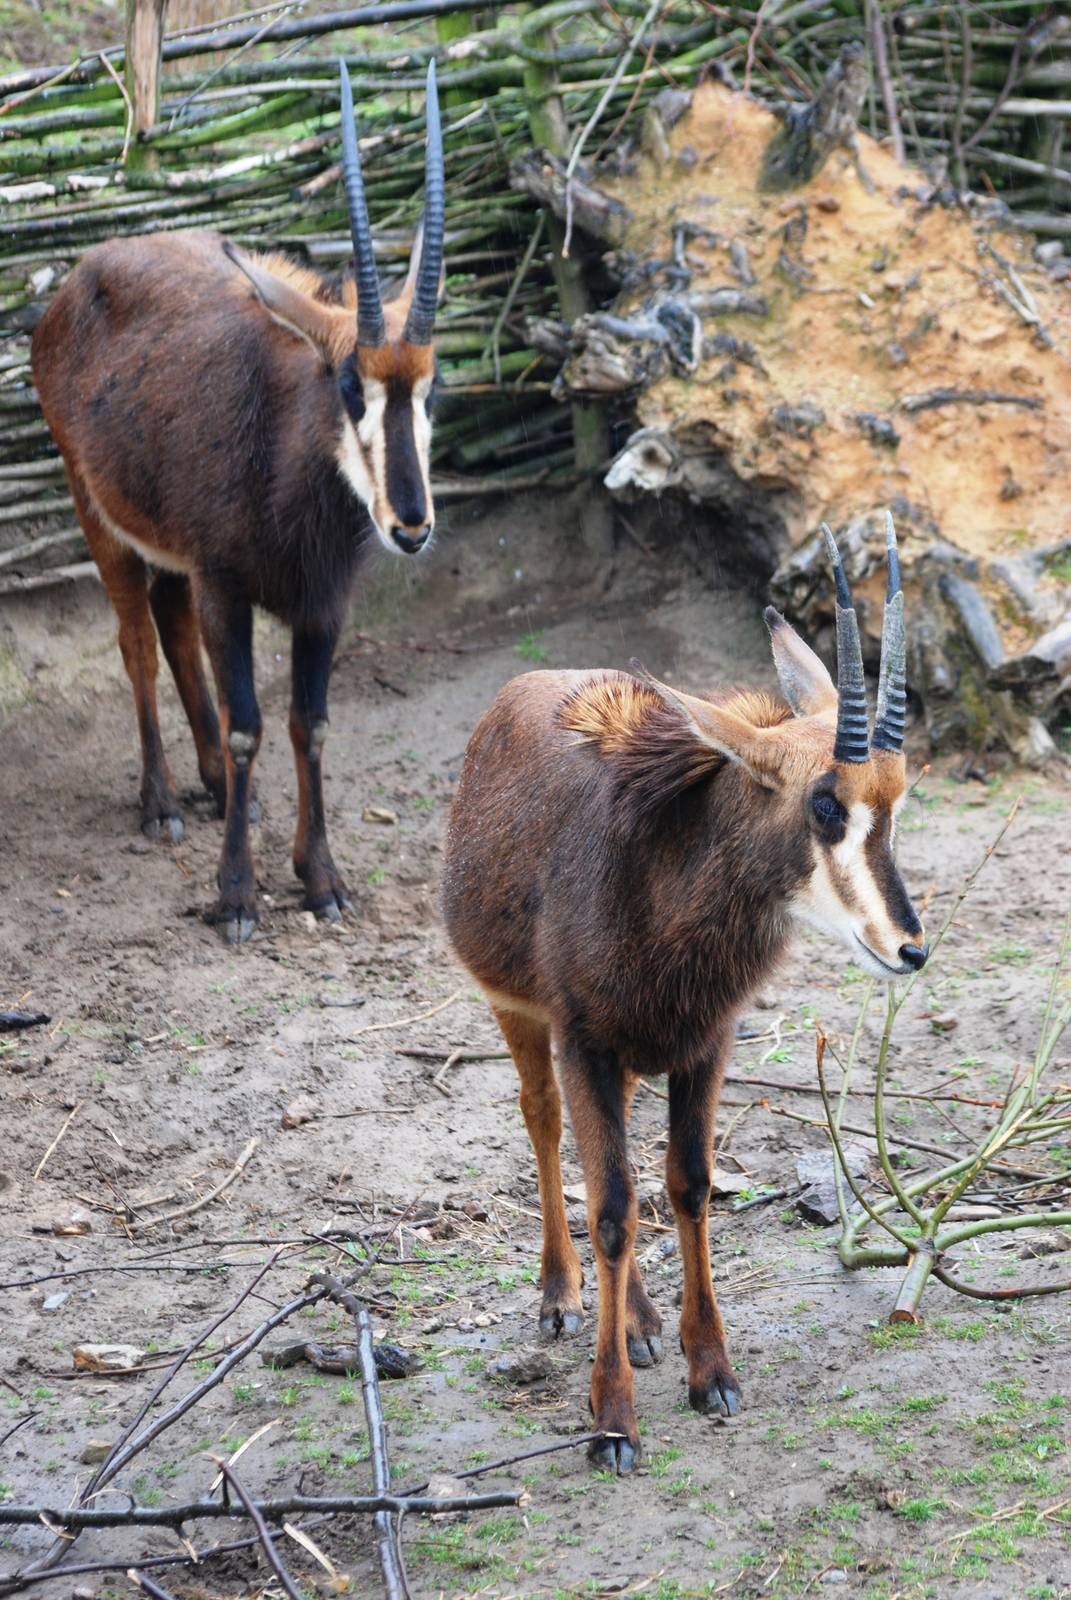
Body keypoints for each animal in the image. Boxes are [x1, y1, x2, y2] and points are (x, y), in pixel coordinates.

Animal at [31, 63, 444, 942]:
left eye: (431, 387)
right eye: (349, 384)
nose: (410, 525)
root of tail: (78, 280)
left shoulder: (323, 602)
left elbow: (308, 724)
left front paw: (321, 878)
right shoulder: (226, 585)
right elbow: (250, 721)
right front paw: (236, 898)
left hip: (172, 552)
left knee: (171, 625)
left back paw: (224, 790)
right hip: (98, 515)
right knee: (138, 640)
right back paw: (159, 802)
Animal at [442, 517, 928, 1473]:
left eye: (896, 802)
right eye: (825, 804)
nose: (908, 947)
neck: (662, 869)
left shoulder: (705, 1040)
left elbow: (688, 1186)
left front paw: (712, 1373)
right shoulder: (585, 1040)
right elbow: (611, 1209)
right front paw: (611, 1422)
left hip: (633, 1050)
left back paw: (635, 1321)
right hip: (521, 1014)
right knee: (544, 1125)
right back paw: (560, 1298)